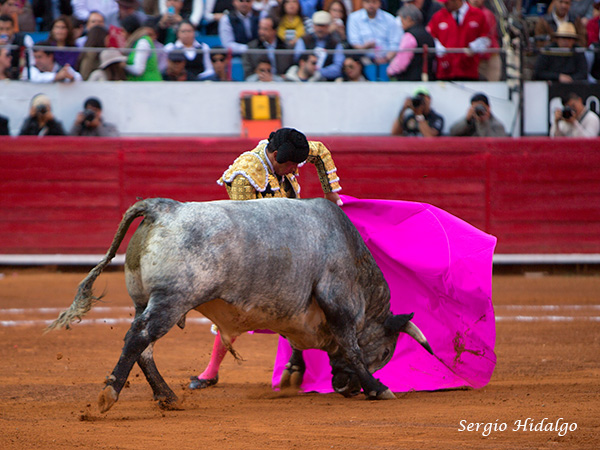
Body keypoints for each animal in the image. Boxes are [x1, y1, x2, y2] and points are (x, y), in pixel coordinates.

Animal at [47, 197, 432, 412]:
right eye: (386, 352)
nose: (345, 388)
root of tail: (162, 208)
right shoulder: (339, 301)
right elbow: (351, 346)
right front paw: (378, 388)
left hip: (146, 300)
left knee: (144, 347)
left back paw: (167, 396)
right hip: (172, 300)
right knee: (139, 338)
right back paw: (110, 393)